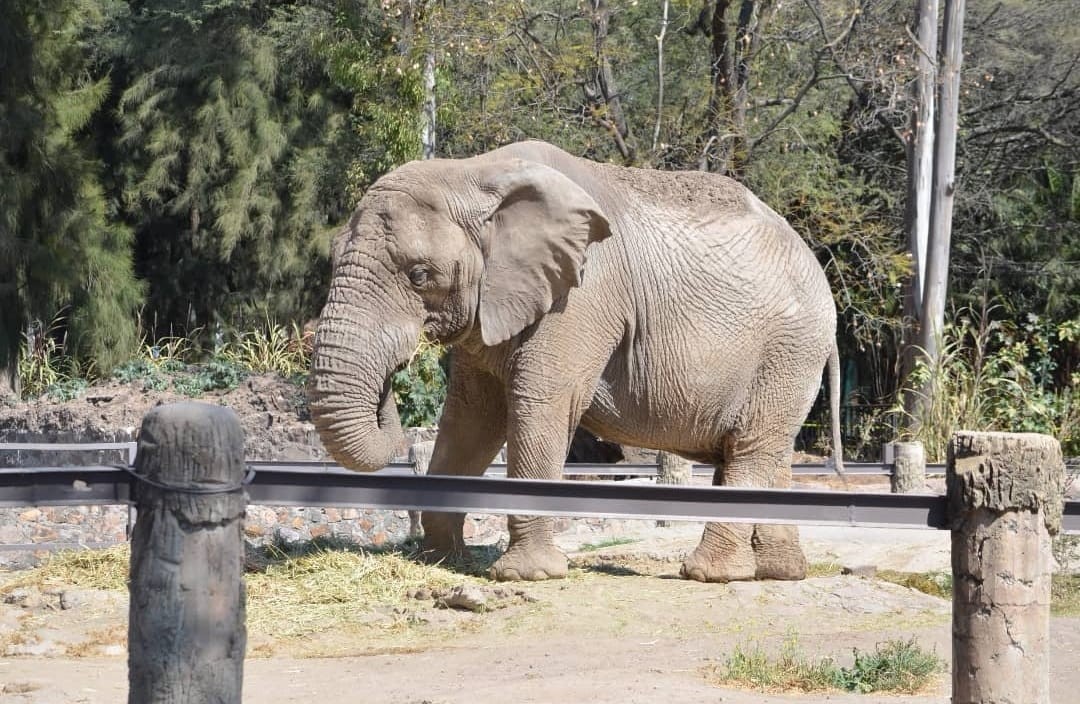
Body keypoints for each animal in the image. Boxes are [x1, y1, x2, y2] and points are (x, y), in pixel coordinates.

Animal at [308, 139, 844, 583]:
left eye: (420, 275)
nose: (392, 382)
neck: (473, 172)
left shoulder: (583, 296)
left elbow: (538, 405)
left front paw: (526, 575)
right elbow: (470, 417)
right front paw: (439, 559)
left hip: (788, 350)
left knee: (751, 447)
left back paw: (709, 574)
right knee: (766, 450)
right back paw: (779, 573)